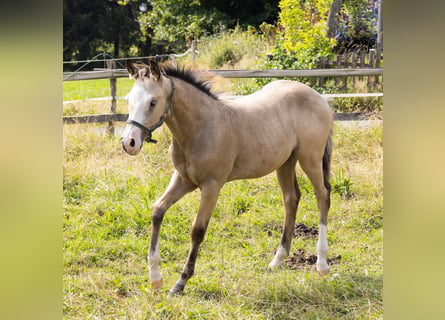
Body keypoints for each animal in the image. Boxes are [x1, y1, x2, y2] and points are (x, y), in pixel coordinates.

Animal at [119, 60, 332, 296]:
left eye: (153, 102)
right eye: (128, 99)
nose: (129, 143)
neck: (200, 127)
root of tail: (318, 97)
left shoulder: (212, 185)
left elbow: (197, 230)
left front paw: (180, 283)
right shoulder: (184, 180)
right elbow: (157, 211)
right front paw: (155, 278)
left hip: (310, 158)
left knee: (322, 196)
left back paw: (322, 264)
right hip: (285, 162)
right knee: (291, 198)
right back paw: (277, 261)